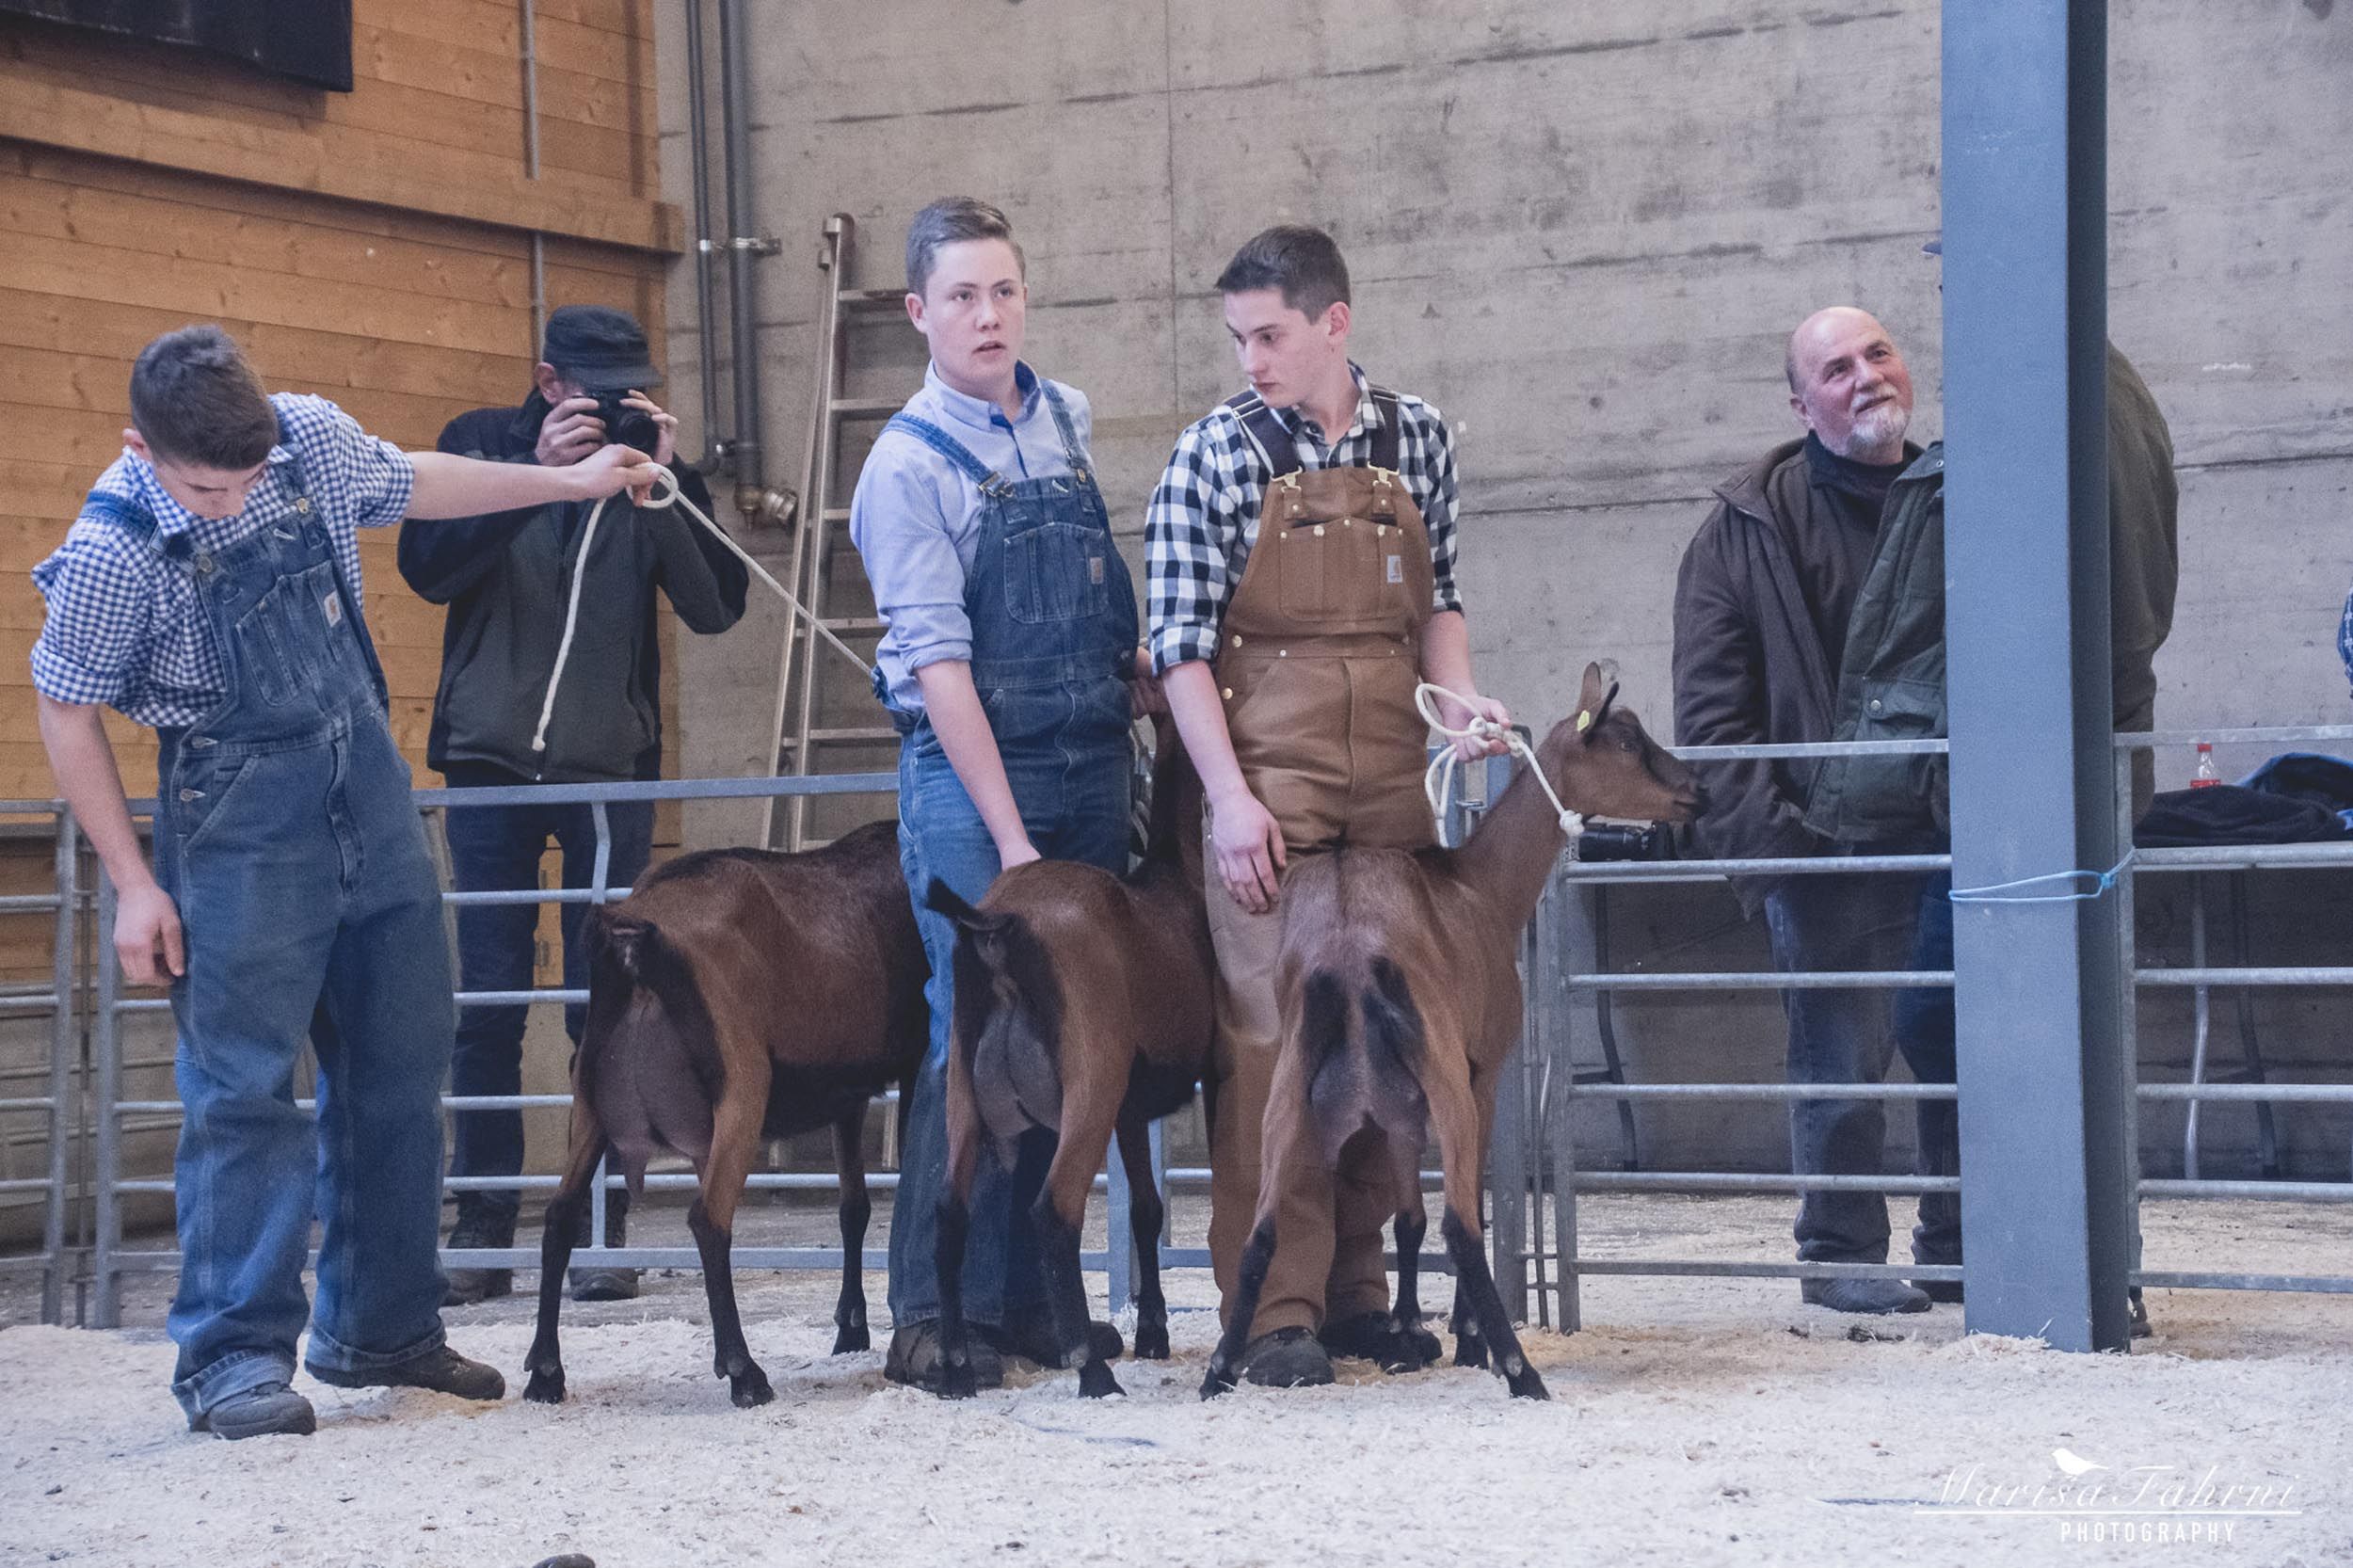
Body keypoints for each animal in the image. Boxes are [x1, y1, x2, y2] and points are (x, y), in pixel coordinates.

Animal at [520, 819, 927, 1408]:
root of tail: (634, 940)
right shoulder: (919, 1058)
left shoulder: (847, 1093)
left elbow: (853, 1208)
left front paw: (850, 1329)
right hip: (742, 1085)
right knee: (708, 1219)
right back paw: (744, 1371)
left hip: (594, 1099)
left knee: (559, 1216)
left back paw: (546, 1372)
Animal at [920, 726, 1212, 1399]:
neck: (1178, 874)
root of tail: (998, 926)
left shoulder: (1131, 1108)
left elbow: (1147, 1210)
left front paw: (1153, 1331)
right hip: (1090, 1075)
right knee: (1053, 1211)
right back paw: (1094, 1371)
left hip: (964, 1079)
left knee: (949, 1214)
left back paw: (957, 1369)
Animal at [1202, 662, 1701, 1401]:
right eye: (1626, 742)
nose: (1696, 791)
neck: (1481, 887)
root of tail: (1349, 954)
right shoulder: (1480, 1074)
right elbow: (1472, 1214)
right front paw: (1465, 1341)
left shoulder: (1396, 1112)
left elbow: (1406, 1219)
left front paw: (1408, 1333)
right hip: (1443, 1078)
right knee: (1461, 1224)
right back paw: (1521, 1372)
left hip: (1290, 1087)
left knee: (1262, 1232)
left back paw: (1218, 1373)